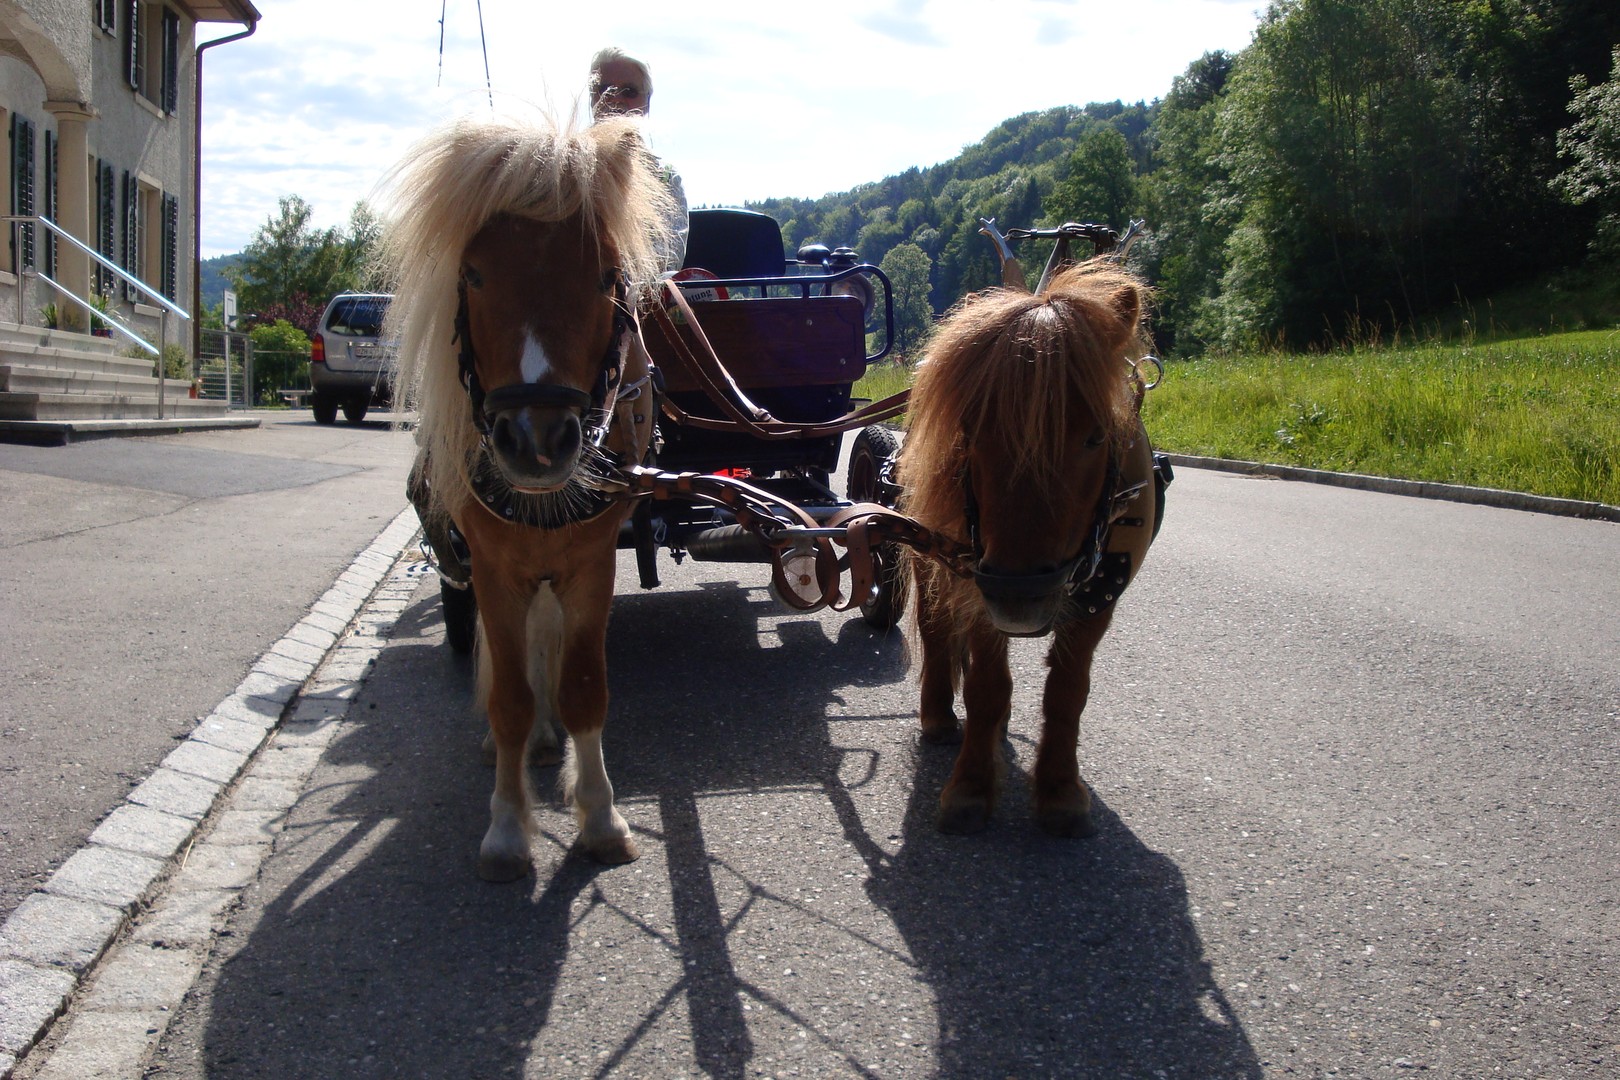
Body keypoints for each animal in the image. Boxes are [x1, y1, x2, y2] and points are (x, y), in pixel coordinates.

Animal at [383, 116, 670, 880]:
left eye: (606, 277)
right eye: (475, 274)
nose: (537, 441)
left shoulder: (592, 563)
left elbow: (584, 686)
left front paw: (600, 817)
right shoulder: (491, 566)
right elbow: (509, 696)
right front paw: (509, 826)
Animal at [907, 259, 1159, 835]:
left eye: (1095, 437)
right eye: (971, 431)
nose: (1020, 598)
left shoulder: (1098, 597)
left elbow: (1067, 693)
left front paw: (1060, 790)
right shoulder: (976, 585)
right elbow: (986, 687)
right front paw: (972, 786)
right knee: (934, 629)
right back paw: (938, 715)